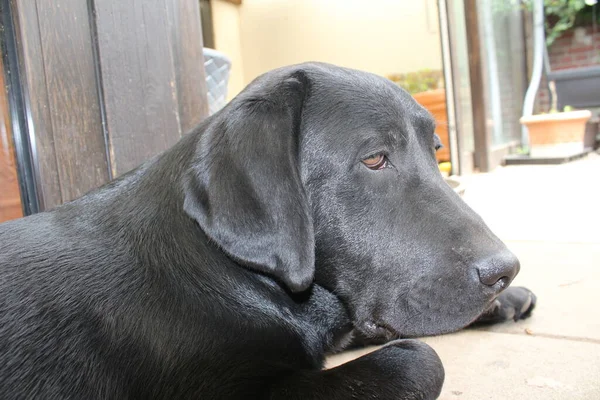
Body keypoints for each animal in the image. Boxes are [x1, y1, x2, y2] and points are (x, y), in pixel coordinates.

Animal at [0, 64, 536, 398]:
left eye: (436, 150)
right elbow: (419, 357)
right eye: (374, 159)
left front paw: (506, 301)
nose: (505, 271)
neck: (225, 270)